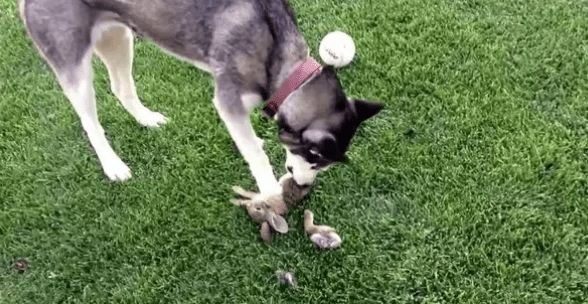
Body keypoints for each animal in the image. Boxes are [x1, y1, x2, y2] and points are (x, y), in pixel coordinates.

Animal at [18, 0, 384, 197]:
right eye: (314, 159)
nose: (303, 186)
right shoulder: (229, 101)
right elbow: (255, 154)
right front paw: (270, 194)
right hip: (74, 63)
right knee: (89, 121)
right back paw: (113, 165)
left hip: (118, 36)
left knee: (121, 87)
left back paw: (146, 119)